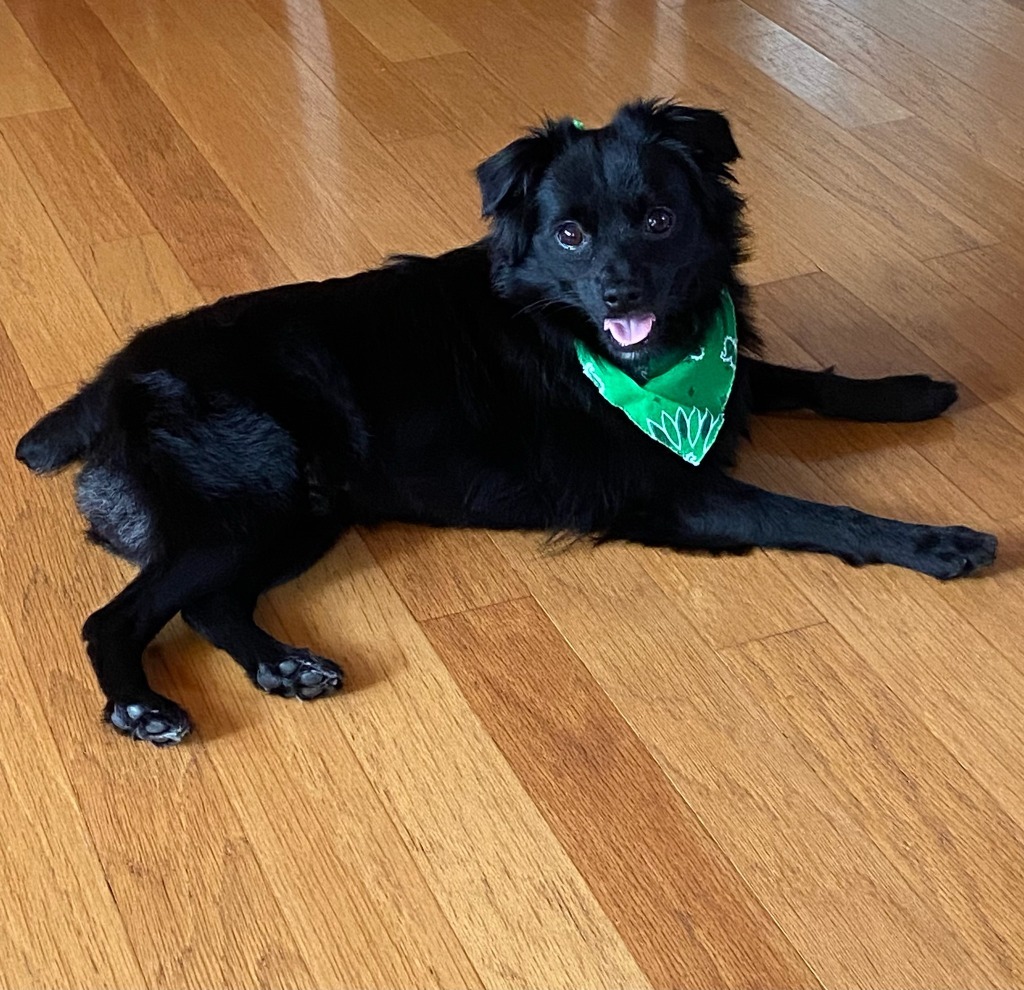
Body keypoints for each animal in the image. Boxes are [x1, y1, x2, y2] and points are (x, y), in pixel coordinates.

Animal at [14, 100, 991, 745]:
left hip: (300, 514)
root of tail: (117, 375)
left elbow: (799, 382)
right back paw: (141, 707)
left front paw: (907, 390)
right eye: (569, 235)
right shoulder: (675, 493)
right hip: (253, 500)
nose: (620, 295)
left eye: (659, 219)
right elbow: (817, 513)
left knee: (210, 604)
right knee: (119, 617)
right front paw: (935, 542)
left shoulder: (731, 381)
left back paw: (284, 665)